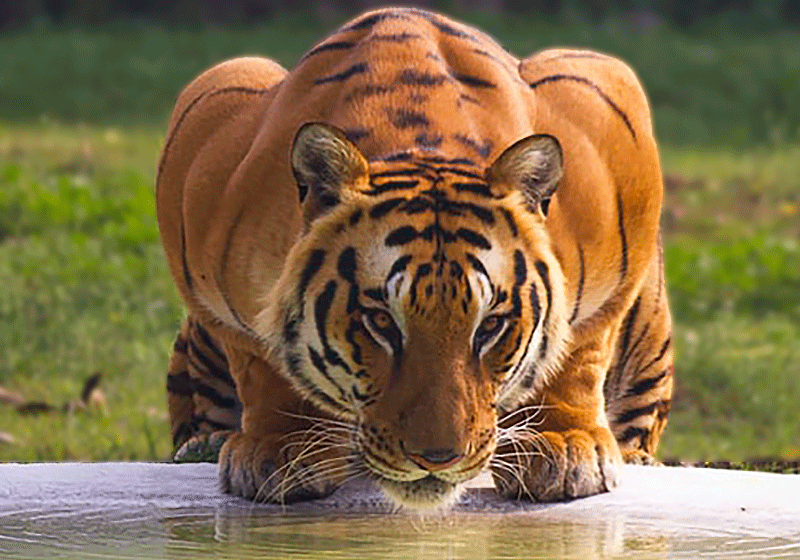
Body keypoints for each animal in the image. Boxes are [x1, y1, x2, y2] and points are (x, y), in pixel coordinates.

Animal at [155, 6, 668, 510]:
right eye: (380, 322)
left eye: (490, 326)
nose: (438, 459)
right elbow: (258, 359)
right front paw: (281, 447)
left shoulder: (609, 108)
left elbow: (580, 349)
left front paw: (563, 445)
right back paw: (203, 446)